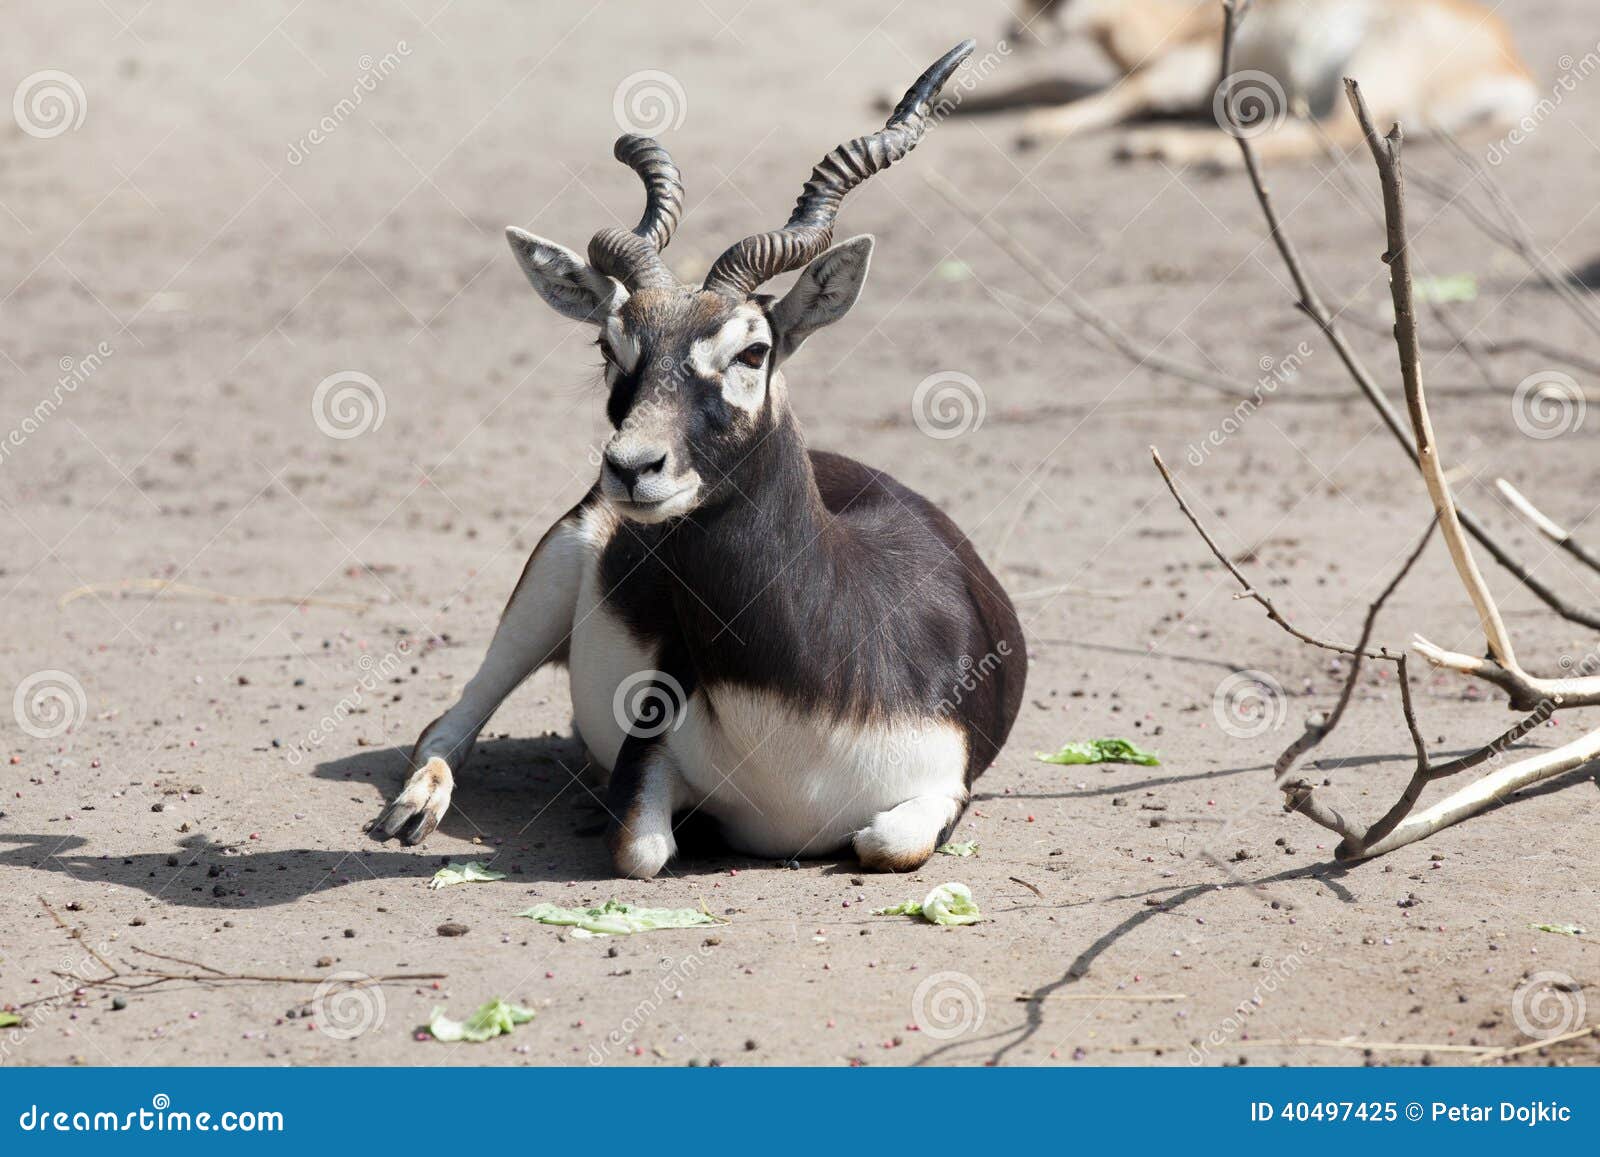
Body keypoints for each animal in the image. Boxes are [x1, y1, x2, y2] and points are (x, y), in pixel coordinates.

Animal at [368, 42, 1027, 879]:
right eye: (611, 345)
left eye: (753, 350)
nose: (631, 466)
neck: (804, 701)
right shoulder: (650, 752)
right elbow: (642, 848)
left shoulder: (944, 784)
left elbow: (886, 843)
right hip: (550, 574)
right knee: (447, 721)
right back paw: (415, 807)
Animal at [1002, 0, 1537, 165]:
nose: (1011, 32)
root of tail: (1514, 72)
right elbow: (1052, 80)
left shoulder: (1189, 71)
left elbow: (1125, 93)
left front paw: (1040, 127)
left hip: (1371, 65)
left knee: (1336, 133)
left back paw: (1180, 148)